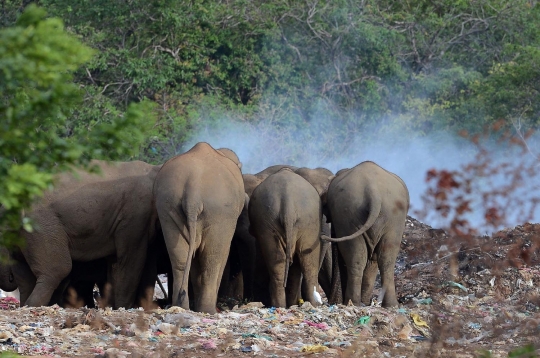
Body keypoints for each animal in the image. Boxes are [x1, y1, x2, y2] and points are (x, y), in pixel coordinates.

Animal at [10, 159, 160, 308]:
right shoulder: (135, 215)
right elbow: (130, 261)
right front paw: (121, 307)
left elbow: (115, 264)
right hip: (41, 224)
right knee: (57, 270)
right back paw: (33, 305)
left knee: (24, 271)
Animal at [153, 143, 244, 314]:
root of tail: (193, 189)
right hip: (219, 211)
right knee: (213, 258)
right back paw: (209, 310)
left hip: (167, 205)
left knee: (179, 257)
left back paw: (181, 306)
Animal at [320, 161, 410, 306]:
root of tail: (373, 192)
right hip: (389, 217)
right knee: (385, 258)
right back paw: (387, 305)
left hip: (352, 214)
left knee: (358, 256)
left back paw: (354, 302)